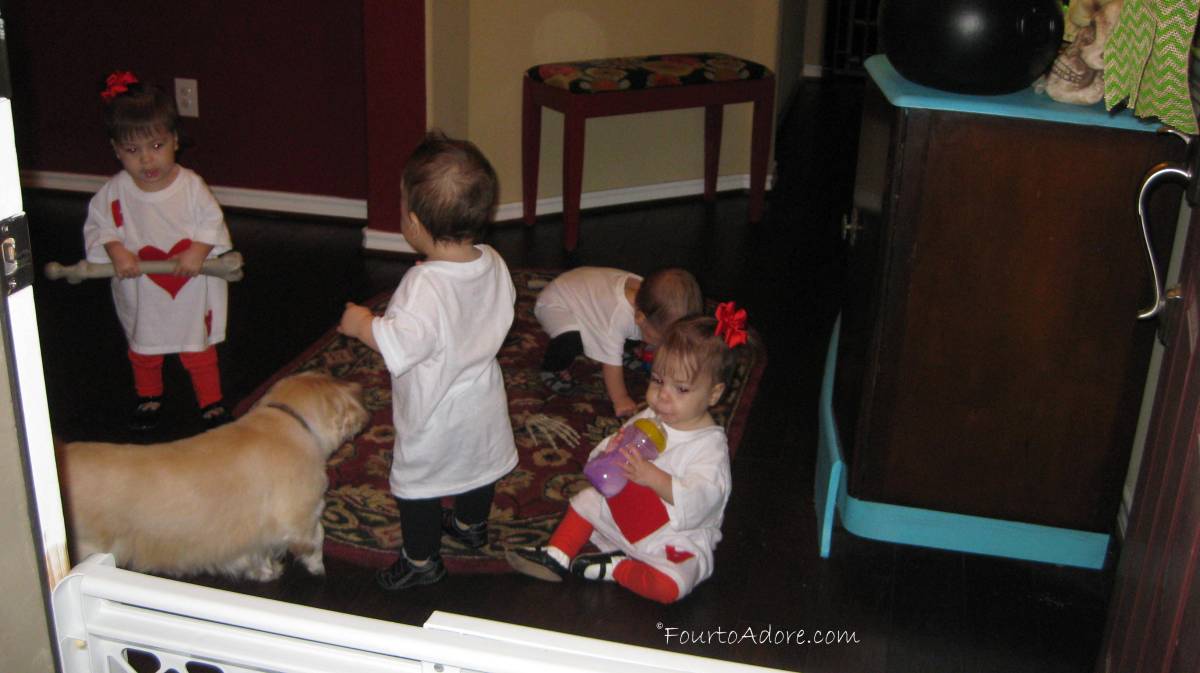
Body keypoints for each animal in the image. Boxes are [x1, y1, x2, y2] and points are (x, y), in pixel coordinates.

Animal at [58, 372, 369, 581]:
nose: (360, 389)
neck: (288, 422)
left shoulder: (249, 534)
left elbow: (256, 553)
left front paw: (264, 571)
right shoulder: (301, 517)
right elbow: (317, 539)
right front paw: (317, 567)